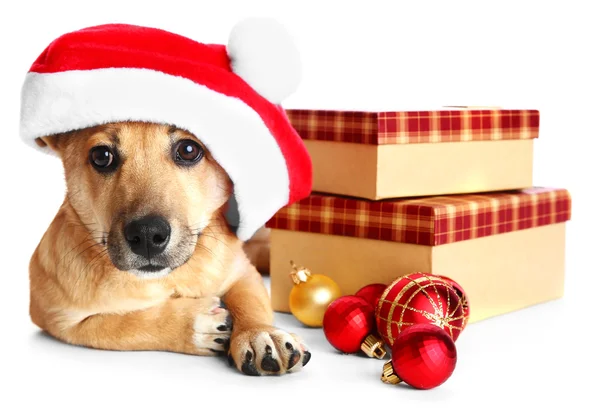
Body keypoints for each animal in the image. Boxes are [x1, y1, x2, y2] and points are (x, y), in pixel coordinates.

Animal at [28, 122, 310, 376]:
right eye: (101, 156)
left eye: (188, 150)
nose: (146, 235)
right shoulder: (58, 317)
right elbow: (119, 326)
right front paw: (195, 326)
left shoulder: (241, 271)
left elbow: (249, 302)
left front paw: (260, 333)